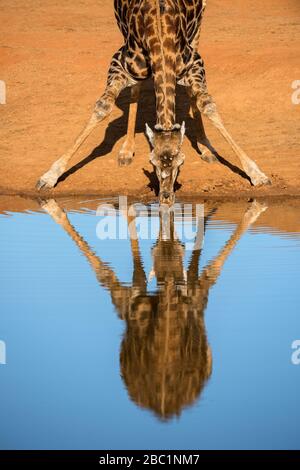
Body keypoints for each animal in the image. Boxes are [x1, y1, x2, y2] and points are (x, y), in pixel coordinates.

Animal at [36, 0, 270, 205]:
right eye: (152, 161)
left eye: (181, 161)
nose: (166, 197)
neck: (160, 32)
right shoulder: (119, 61)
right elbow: (103, 106)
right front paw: (49, 176)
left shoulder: (195, 63)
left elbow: (207, 104)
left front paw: (257, 174)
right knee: (136, 88)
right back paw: (126, 150)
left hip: (199, 22)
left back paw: (205, 147)